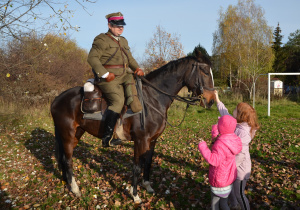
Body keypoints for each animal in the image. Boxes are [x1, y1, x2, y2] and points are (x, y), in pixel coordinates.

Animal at [51, 50, 216, 203]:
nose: (211, 101)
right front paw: (135, 195)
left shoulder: (152, 141)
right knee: (68, 160)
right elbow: (136, 167)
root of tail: (57, 99)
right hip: (67, 135)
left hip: (77, 133)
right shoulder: (140, 140)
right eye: (205, 71)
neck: (152, 98)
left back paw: (67, 182)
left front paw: (147, 186)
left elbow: (147, 163)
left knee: (65, 158)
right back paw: (75, 189)